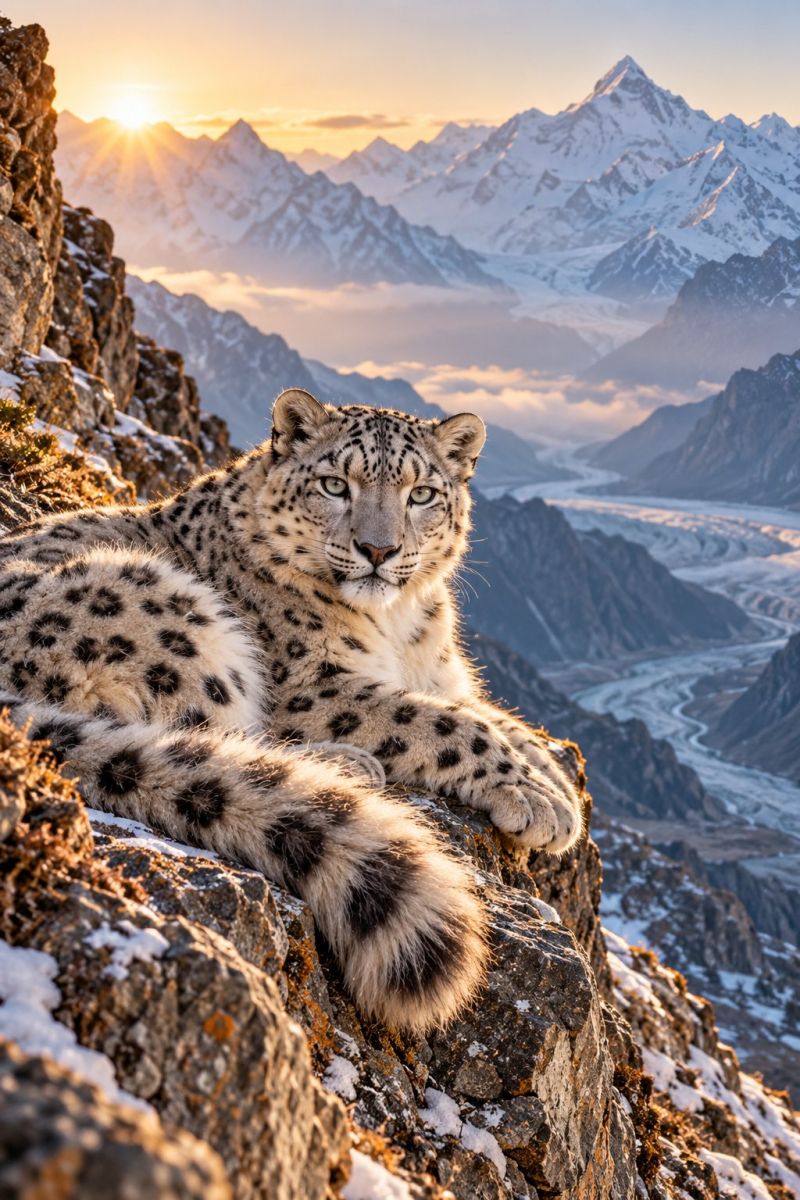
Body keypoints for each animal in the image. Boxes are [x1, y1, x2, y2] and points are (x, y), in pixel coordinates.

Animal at [0, 389, 583, 1032]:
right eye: (335, 484)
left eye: (421, 494)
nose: (378, 549)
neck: (401, 627)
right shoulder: (311, 688)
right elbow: (448, 721)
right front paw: (532, 799)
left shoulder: (445, 677)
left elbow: (499, 719)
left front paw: (558, 792)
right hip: (172, 615)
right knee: (202, 732)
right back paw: (346, 768)